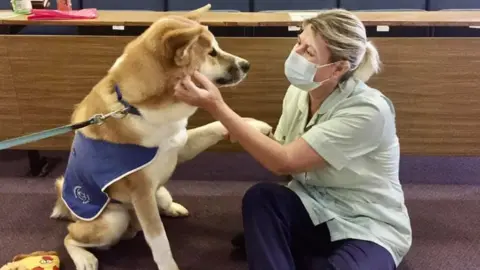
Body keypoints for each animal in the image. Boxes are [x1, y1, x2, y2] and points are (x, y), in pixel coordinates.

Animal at [51, 4, 274, 270]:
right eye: (212, 52)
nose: (247, 64)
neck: (134, 108)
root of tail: (64, 202)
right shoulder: (142, 193)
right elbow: (159, 242)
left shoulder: (180, 145)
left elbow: (213, 125)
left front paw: (254, 126)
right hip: (112, 220)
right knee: (69, 236)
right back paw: (85, 258)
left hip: (158, 193)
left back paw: (172, 208)